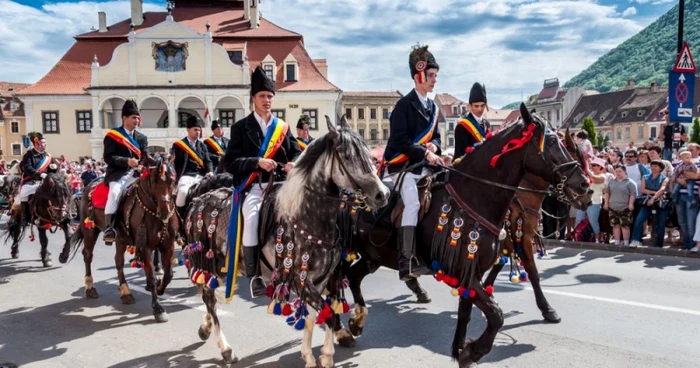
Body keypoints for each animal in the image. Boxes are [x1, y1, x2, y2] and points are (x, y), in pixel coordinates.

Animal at [70, 155, 178, 322]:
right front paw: (158, 309)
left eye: (172, 180)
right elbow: (151, 277)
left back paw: (125, 292)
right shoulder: (145, 247)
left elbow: (168, 275)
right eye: (153, 181)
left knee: (118, 262)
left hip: (120, 239)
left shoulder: (168, 245)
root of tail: (90, 185)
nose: (165, 212)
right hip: (90, 230)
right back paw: (90, 288)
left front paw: (160, 288)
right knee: (88, 255)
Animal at [482, 129, 592, 322]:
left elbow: (499, 263)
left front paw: (487, 291)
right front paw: (547, 309)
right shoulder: (523, 237)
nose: (588, 190)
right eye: (578, 161)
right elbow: (533, 272)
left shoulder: (508, 239)